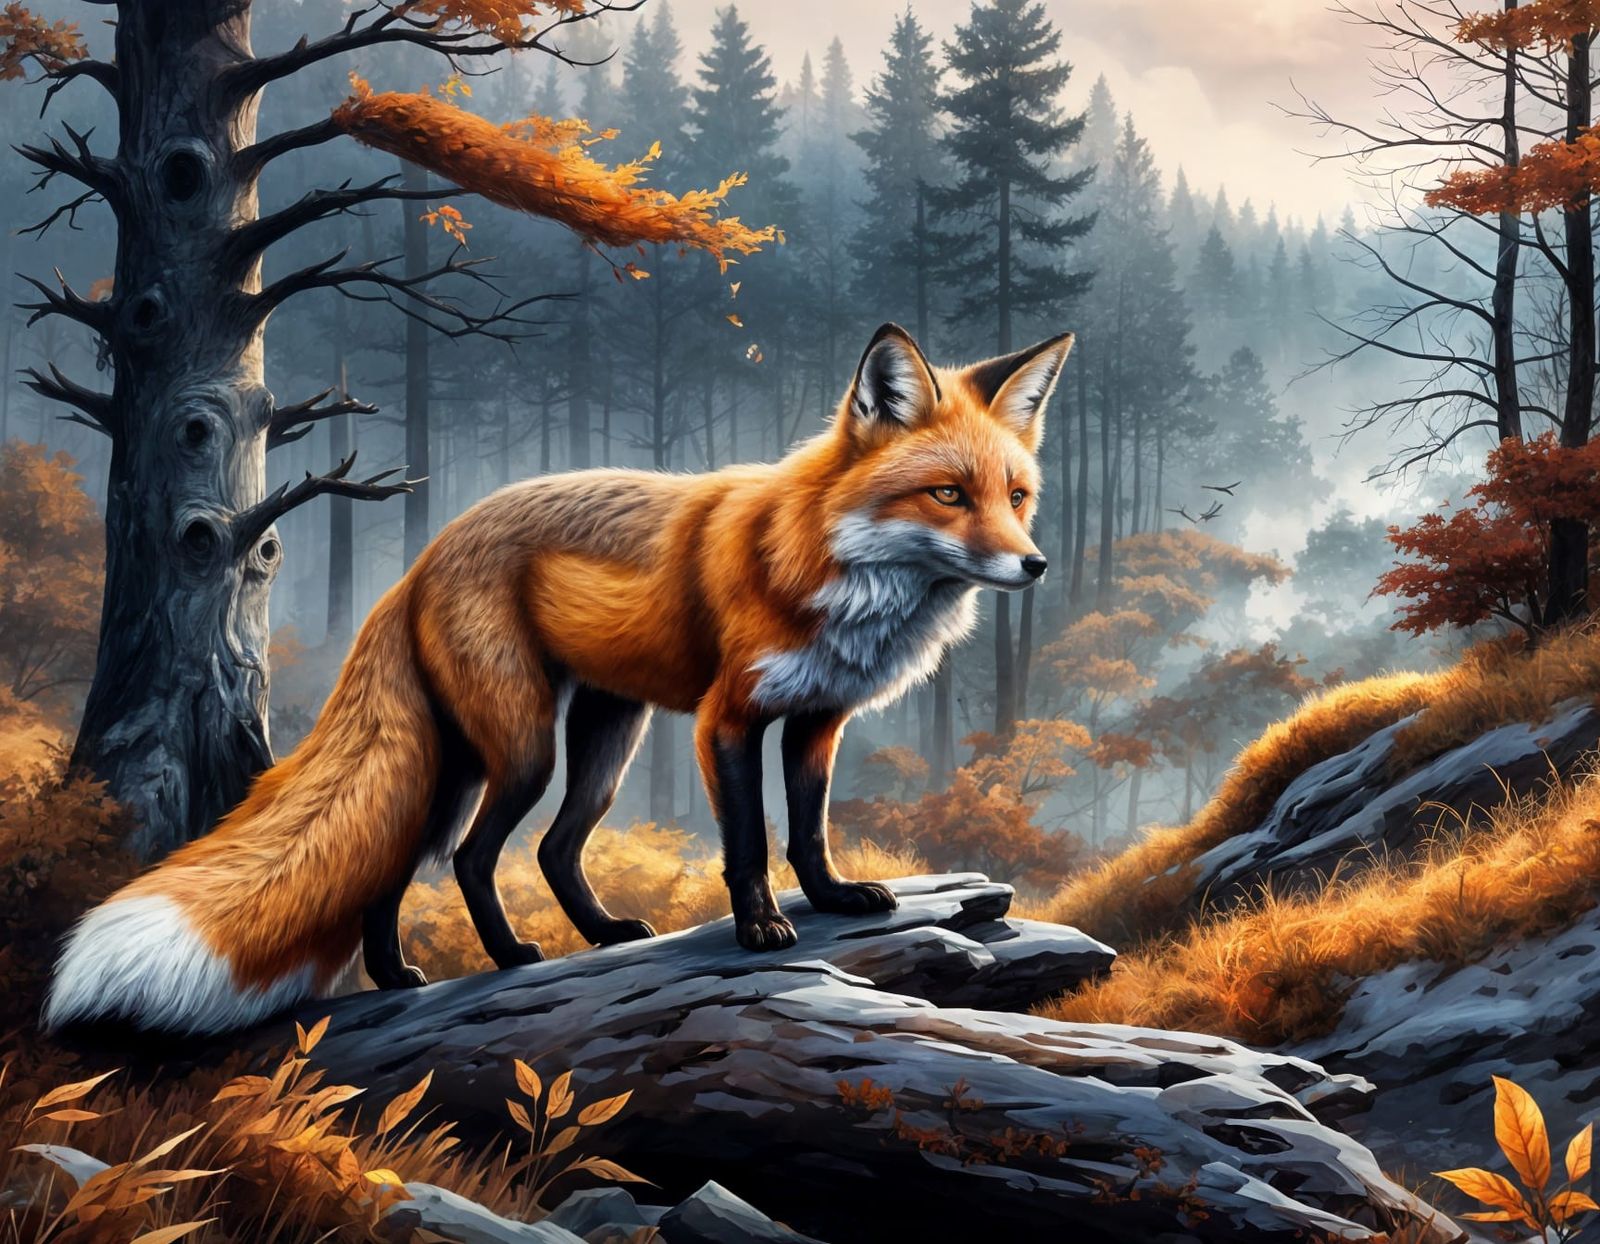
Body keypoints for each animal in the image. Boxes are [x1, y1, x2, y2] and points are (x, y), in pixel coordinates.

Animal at [45, 323, 1072, 1036]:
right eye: (948, 495)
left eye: (1017, 496)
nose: (1034, 566)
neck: (828, 564)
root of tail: (424, 559)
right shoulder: (727, 721)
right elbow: (748, 844)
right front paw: (762, 930)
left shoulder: (817, 719)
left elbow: (810, 832)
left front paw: (830, 900)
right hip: (524, 750)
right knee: (471, 858)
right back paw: (504, 957)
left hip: (575, 747)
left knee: (508, 855)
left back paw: (458, 963)